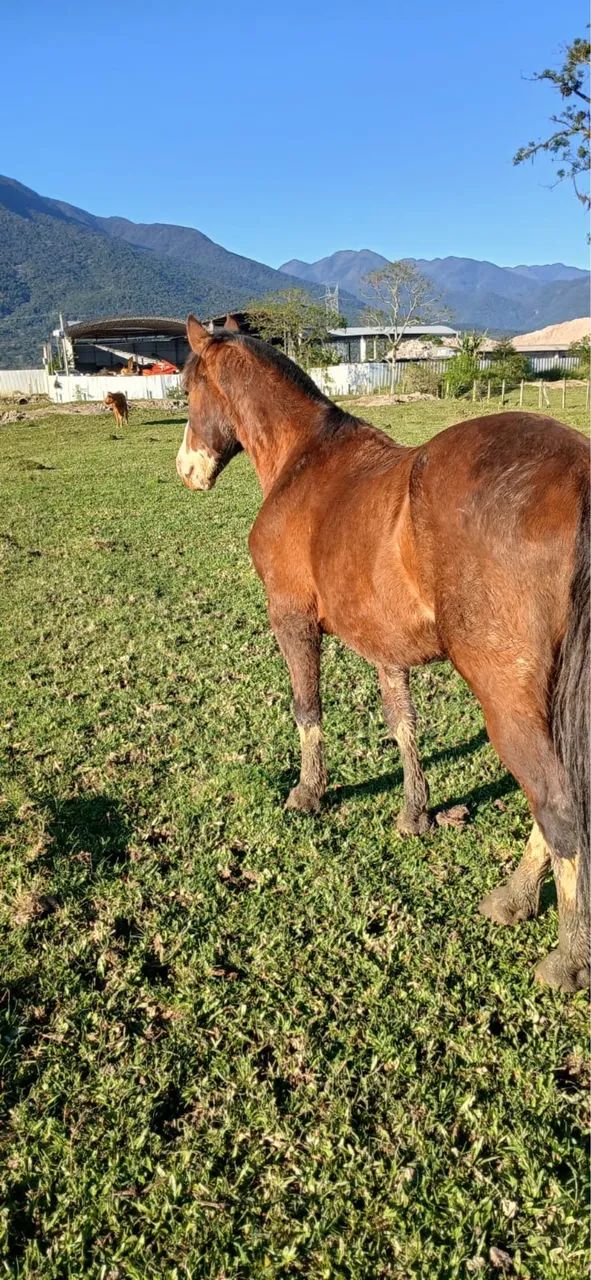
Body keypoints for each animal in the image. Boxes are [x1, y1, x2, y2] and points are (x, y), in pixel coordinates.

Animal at [176, 314, 590, 994]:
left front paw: (309, 794)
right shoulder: (383, 645)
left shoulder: (292, 619)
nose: (187, 469)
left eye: (187, 389)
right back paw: (512, 899)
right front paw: (414, 814)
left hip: (510, 699)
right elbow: (404, 726)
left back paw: (566, 956)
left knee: (558, 806)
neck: (304, 460)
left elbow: (307, 710)